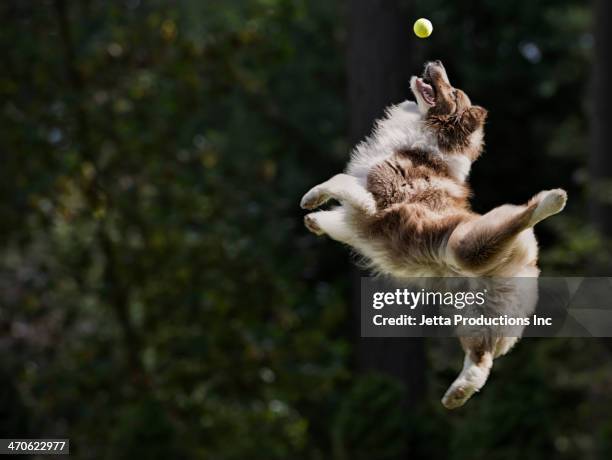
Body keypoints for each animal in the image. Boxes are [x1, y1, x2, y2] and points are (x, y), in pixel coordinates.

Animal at [298, 61, 568, 410]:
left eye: (451, 91)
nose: (436, 63)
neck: (429, 141)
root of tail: (529, 258)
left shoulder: (373, 201)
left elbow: (337, 179)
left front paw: (310, 199)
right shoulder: (357, 219)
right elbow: (338, 215)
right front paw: (315, 221)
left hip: (466, 249)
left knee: (518, 218)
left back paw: (551, 200)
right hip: (477, 314)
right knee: (481, 358)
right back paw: (457, 394)